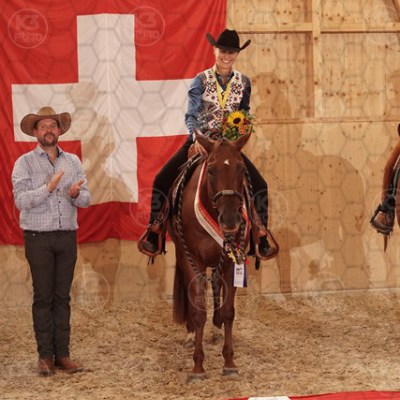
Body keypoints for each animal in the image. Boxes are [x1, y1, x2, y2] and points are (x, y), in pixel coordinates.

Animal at [168, 131, 252, 381]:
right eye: (212, 170)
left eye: (242, 169)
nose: (231, 220)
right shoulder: (192, 260)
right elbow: (198, 312)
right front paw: (197, 367)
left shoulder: (232, 262)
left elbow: (228, 311)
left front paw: (229, 362)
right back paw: (189, 334)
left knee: (216, 286)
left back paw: (215, 330)